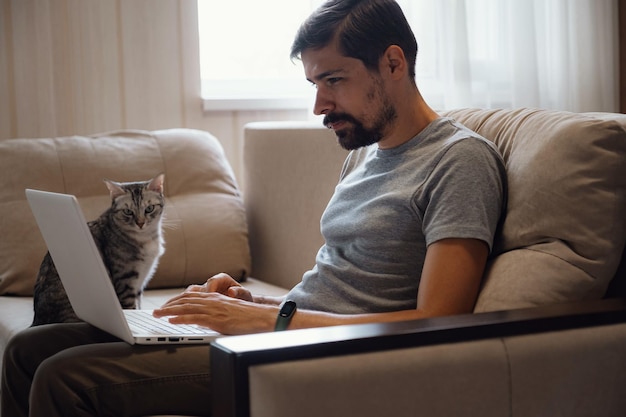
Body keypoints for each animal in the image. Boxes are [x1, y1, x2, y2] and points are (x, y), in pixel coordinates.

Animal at [31, 172, 166, 324]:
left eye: (149, 209)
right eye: (128, 212)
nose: (140, 223)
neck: (146, 238)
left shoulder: (141, 282)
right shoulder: (126, 281)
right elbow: (131, 308)